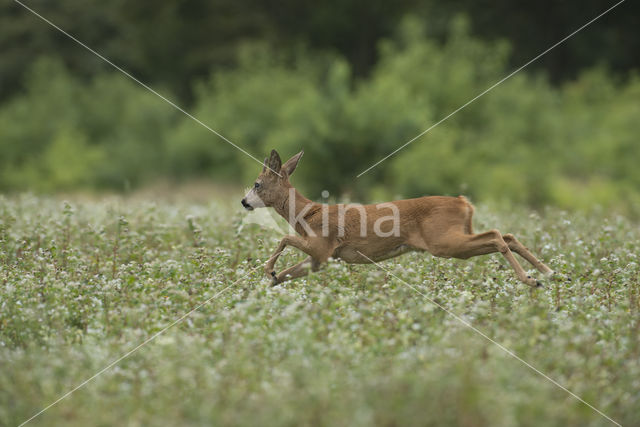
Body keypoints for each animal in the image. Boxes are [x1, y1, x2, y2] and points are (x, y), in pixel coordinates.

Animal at [242, 150, 552, 288]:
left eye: (257, 184)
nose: (244, 201)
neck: (306, 213)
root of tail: (464, 203)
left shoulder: (322, 246)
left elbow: (284, 237)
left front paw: (267, 270)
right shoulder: (321, 259)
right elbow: (286, 274)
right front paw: (265, 287)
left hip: (443, 241)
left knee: (498, 235)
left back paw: (531, 279)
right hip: (454, 237)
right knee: (507, 235)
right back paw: (548, 273)